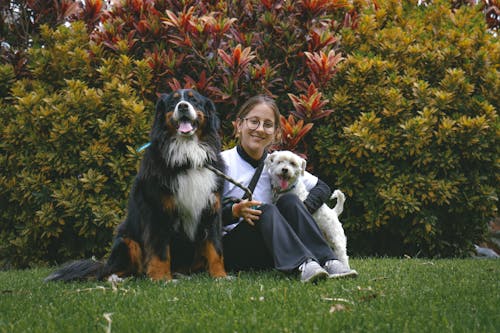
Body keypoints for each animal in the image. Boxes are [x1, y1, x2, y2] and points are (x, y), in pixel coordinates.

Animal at [45, 89, 229, 280]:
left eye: (194, 101)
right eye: (173, 102)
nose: (183, 106)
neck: (187, 158)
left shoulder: (211, 209)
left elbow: (215, 248)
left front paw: (220, 277)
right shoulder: (157, 210)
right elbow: (160, 250)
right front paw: (162, 278)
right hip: (127, 241)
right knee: (109, 272)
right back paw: (116, 278)